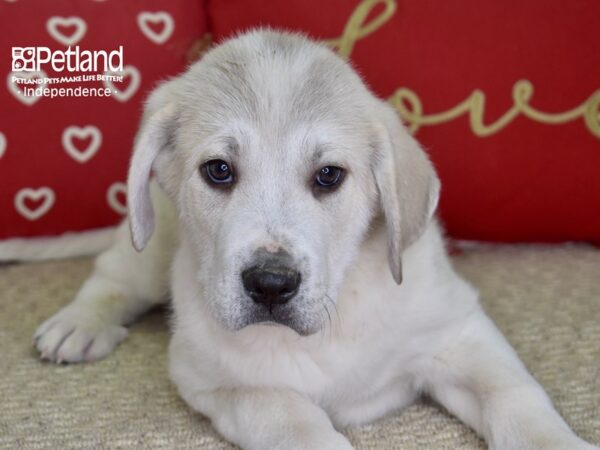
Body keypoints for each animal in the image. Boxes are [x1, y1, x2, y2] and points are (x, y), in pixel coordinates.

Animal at [35, 31, 596, 450]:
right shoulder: (218, 380)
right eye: (218, 170)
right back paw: (77, 324)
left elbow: (515, 397)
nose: (270, 284)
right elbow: (290, 418)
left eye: (329, 176)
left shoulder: (458, 331)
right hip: (149, 237)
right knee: (112, 278)